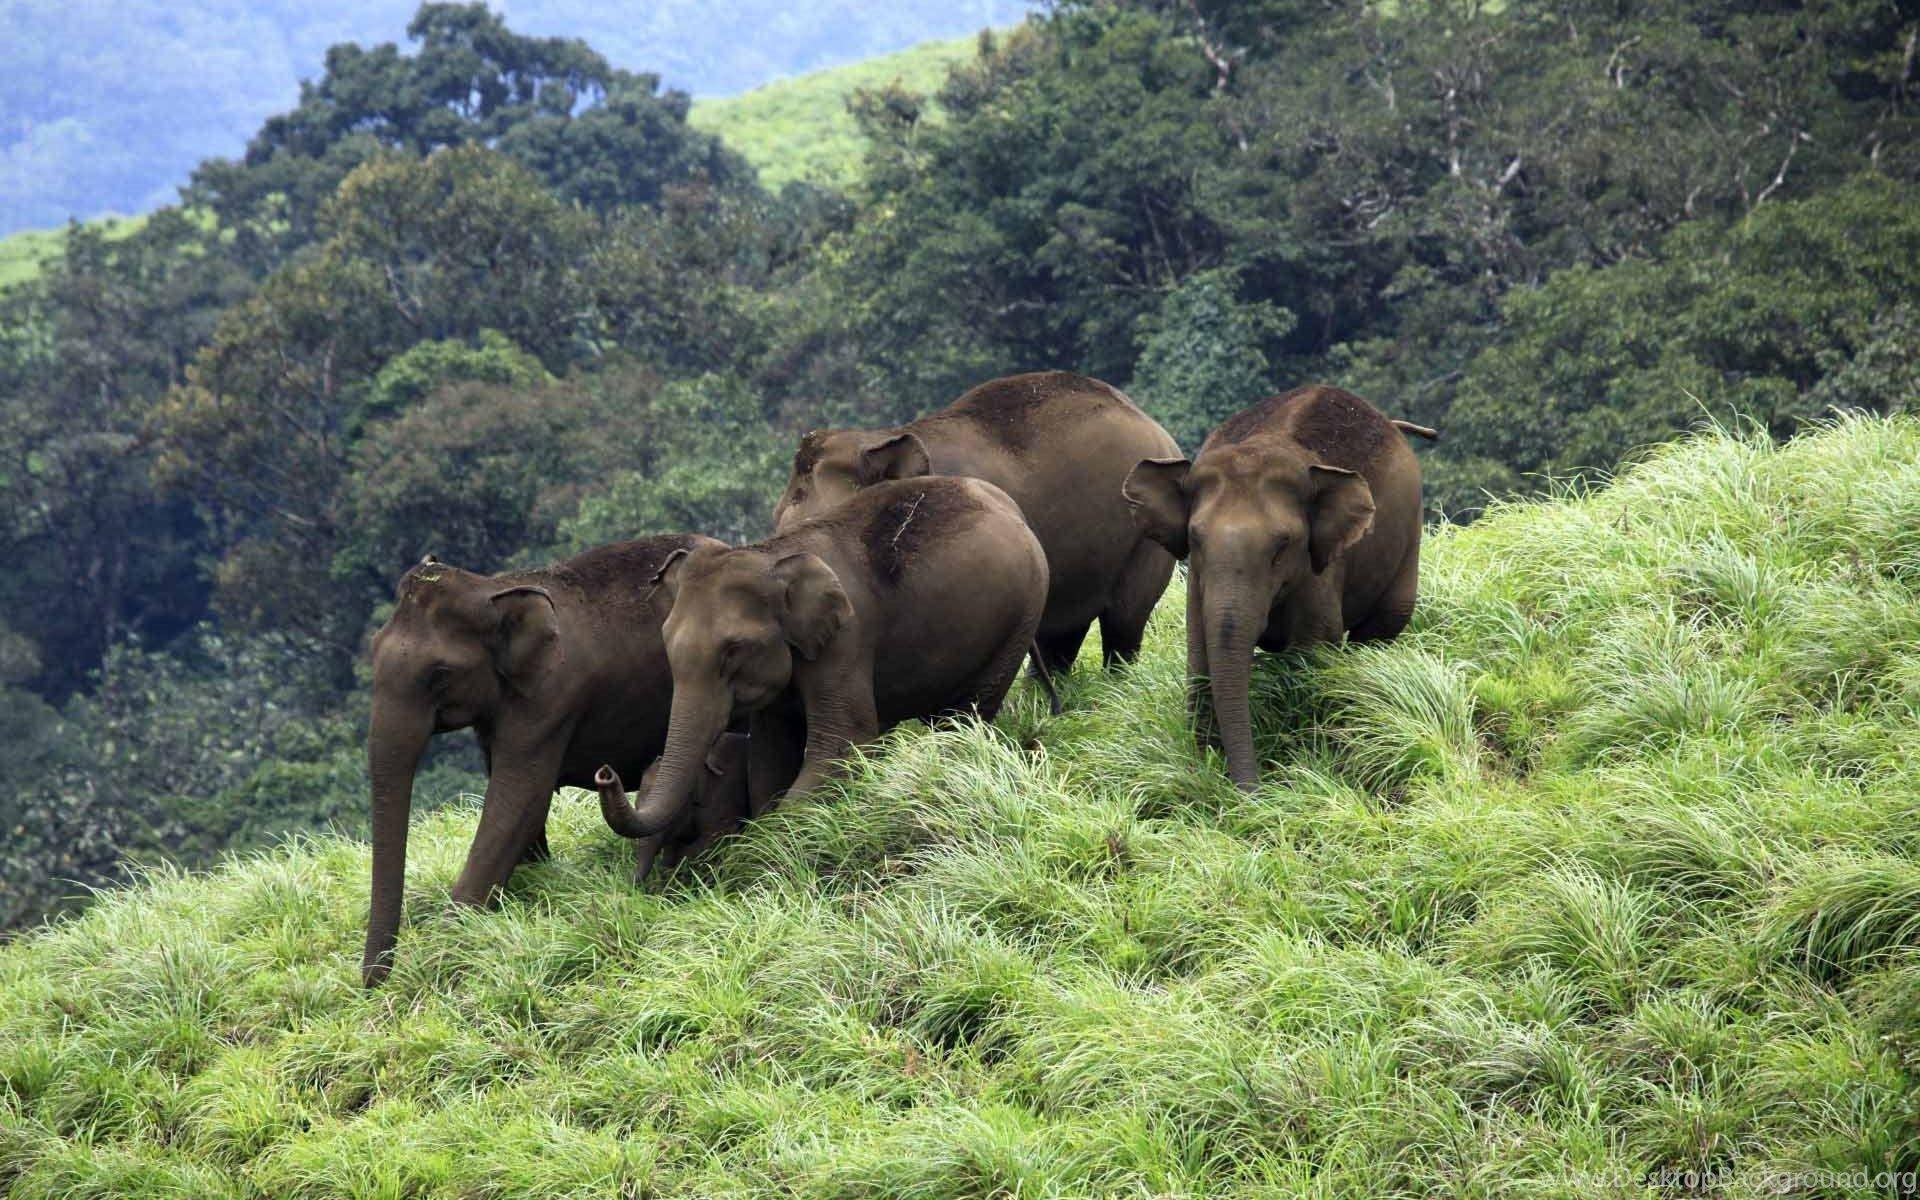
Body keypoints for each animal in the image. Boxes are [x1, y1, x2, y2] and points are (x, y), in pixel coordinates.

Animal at [363, 532, 724, 987]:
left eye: (439, 675)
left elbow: (518, 802)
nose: (373, 985)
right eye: (372, 650)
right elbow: (520, 807)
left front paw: (445, 951)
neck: (495, 588)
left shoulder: (551, 698)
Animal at [597, 475, 1048, 836]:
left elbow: (842, 739)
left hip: (1021, 615)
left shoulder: (846, 639)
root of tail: (1011, 507)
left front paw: (774, 840)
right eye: (667, 643)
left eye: (733, 649)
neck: (771, 555)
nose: (606, 772)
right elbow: (769, 754)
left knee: (969, 712)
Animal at [771, 371, 1181, 689]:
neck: (884, 435)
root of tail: (1157, 428)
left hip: (1143, 540)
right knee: (1062, 636)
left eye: (801, 506)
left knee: (1124, 622)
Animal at [1121, 385, 1435, 792]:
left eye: (1282, 545)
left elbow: (1313, 649)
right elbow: (1200, 647)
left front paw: (1307, 759)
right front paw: (1204, 762)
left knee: (1383, 625)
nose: (1252, 791)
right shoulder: (1199, 579)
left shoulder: (1319, 568)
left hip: (1410, 532)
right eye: (1196, 538)